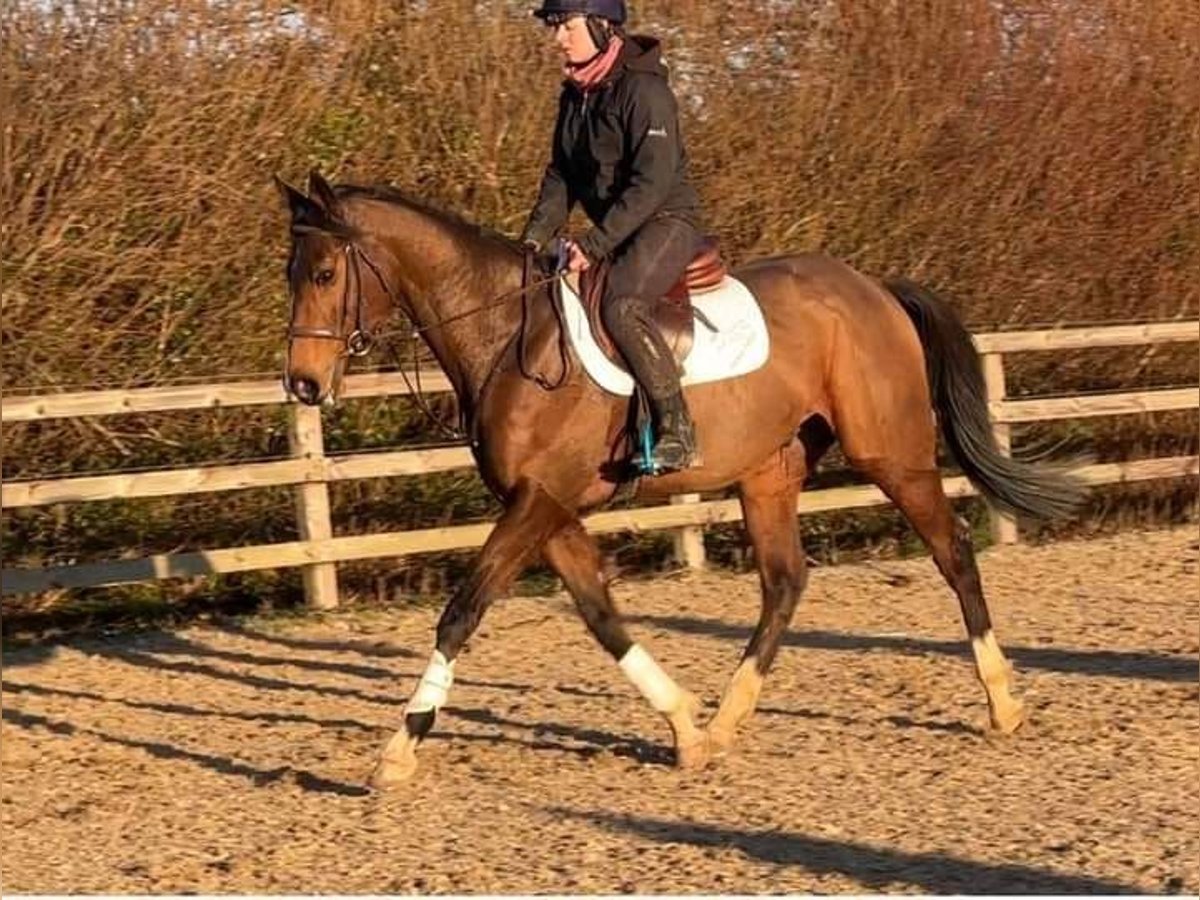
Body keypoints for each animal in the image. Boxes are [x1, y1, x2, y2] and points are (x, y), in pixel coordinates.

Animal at [276, 170, 1084, 787]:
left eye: (324, 273)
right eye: (292, 274)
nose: (304, 384)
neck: (510, 338)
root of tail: (872, 288)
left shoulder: (537, 502)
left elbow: (462, 612)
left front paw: (397, 751)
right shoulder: (549, 508)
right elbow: (601, 615)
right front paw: (686, 727)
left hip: (892, 455)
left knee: (953, 551)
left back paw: (1003, 703)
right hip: (768, 474)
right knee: (784, 583)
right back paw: (727, 720)